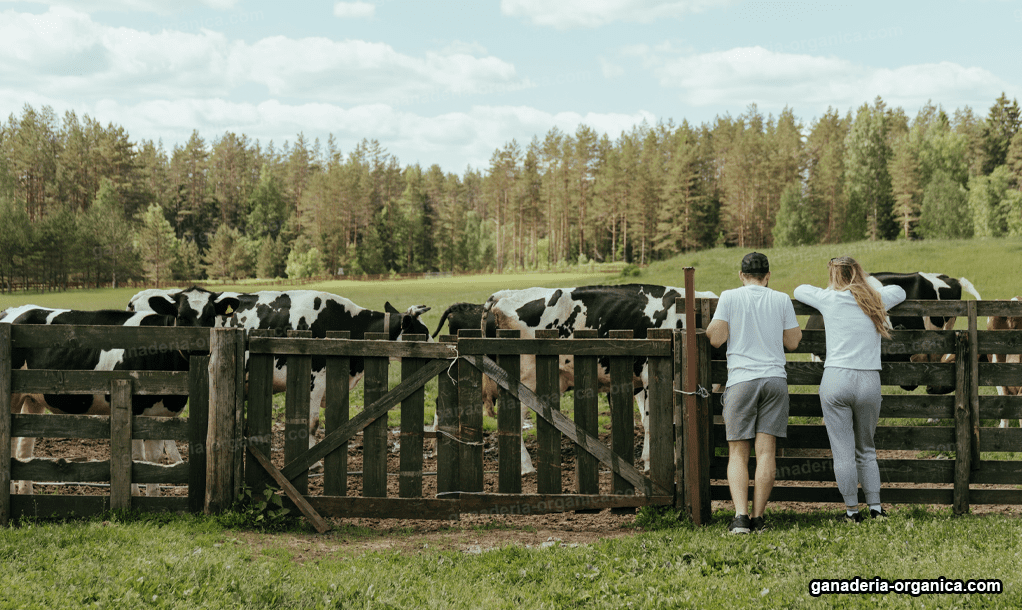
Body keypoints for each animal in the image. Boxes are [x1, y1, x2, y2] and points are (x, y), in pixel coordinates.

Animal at [1, 294, 228, 494]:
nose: (199, 348)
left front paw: (153, 496)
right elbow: (136, 457)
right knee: (11, 446)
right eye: (181, 317)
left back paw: (26, 493)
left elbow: (153, 459)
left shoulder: (160, 414)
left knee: (24, 449)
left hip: (33, 398)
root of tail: (12, 311)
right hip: (12, 396)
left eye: (211, 316)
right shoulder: (134, 410)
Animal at [482, 284, 715, 474]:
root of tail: (506, 294)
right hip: (524, 379)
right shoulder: (650, 375)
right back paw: (525, 467)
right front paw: (652, 463)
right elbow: (652, 422)